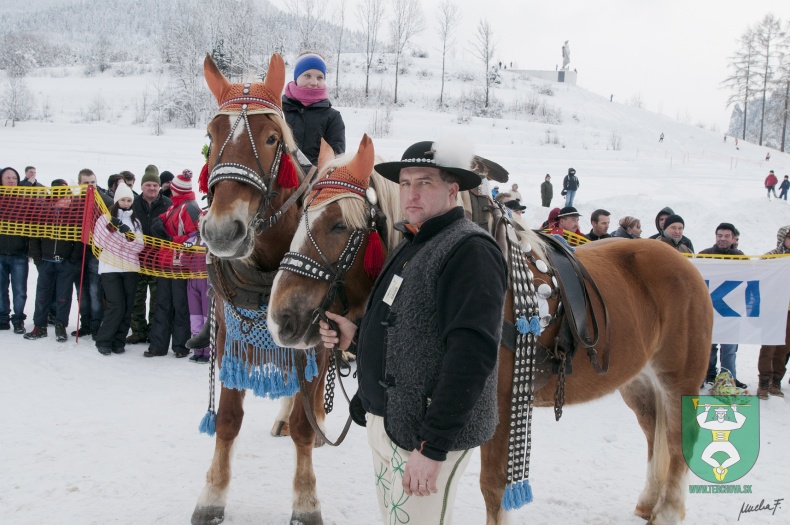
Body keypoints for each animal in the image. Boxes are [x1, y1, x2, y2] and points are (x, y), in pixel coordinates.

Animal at [193, 53, 332, 524]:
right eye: (211, 135)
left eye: (272, 138)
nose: (222, 232)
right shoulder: (227, 334)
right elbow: (227, 419)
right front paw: (212, 495)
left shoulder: (316, 337)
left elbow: (305, 428)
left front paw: (306, 500)